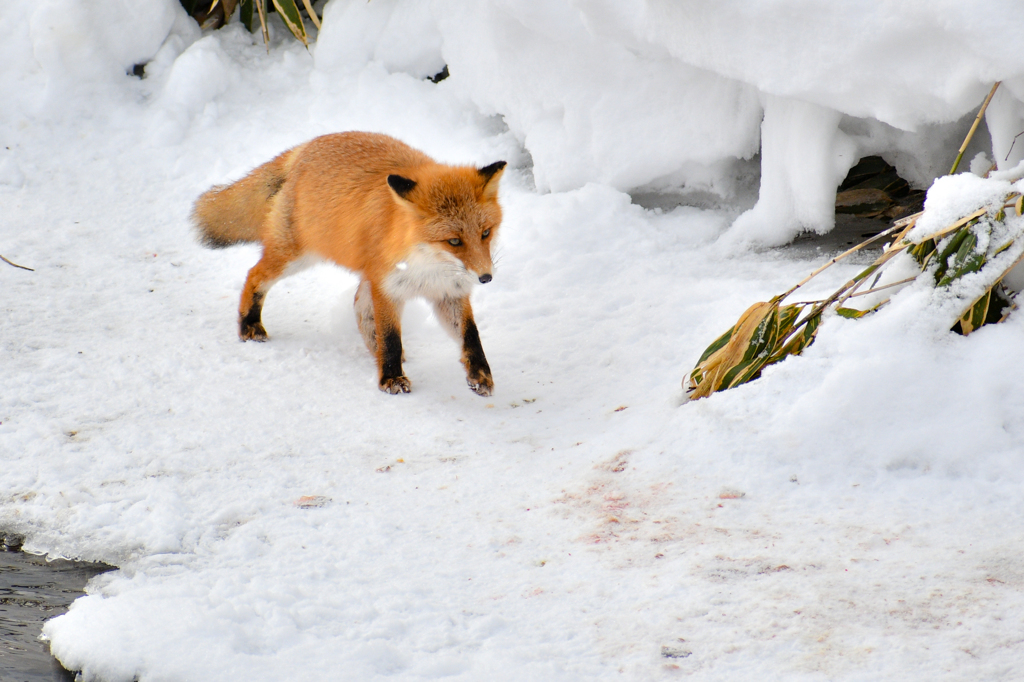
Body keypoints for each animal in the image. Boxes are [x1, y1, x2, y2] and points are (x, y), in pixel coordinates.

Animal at [191, 131, 503, 393]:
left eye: (485, 233)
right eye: (454, 241)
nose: (486, 277)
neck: (428, 266)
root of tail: (305, 146)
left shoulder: (449, 292)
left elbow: (470, 336)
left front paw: (480, 374)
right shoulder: (388, 288)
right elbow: (391, 337)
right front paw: (391, 378)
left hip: (361, 273)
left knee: (359, 306)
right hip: (296, 256)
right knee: (254, 275)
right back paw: (249, 325)